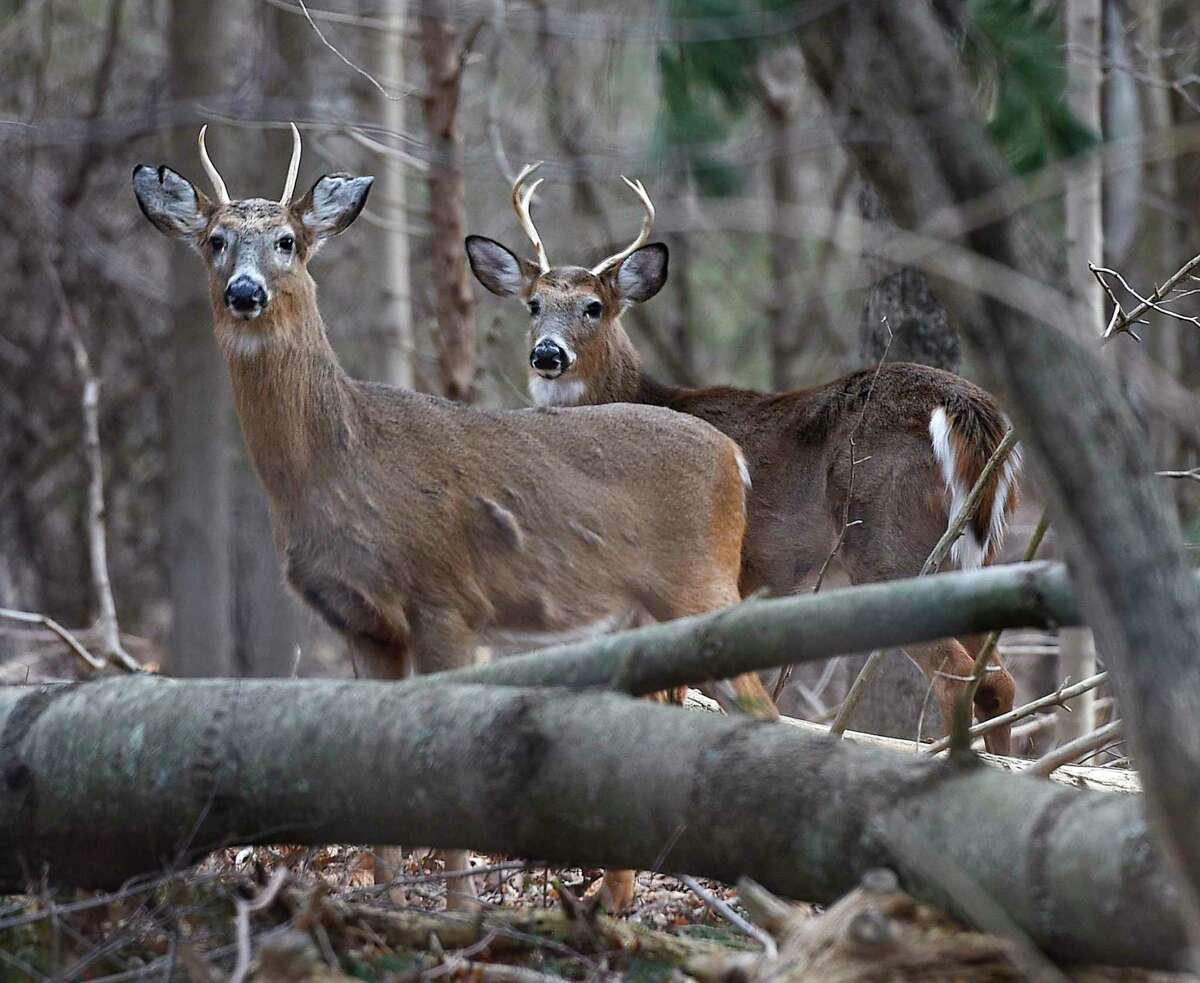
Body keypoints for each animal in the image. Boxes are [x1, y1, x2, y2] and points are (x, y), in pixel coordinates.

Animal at [133, 124, 777, 916]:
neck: (344, 459)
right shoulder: (362, 620)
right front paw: (389, 902)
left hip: (700, 582)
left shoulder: (445, 598)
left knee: (761, 708)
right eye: (216, 240)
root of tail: (732, 458)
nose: (245, 291)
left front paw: (463, 911)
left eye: (287, 240)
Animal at [468, 165, 1022, 758]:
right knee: (998, 677)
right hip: (973, 557)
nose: (548, 354)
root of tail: (967, 408)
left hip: (888, 542)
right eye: (533, 305)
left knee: (958, 676)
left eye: (593, 307)